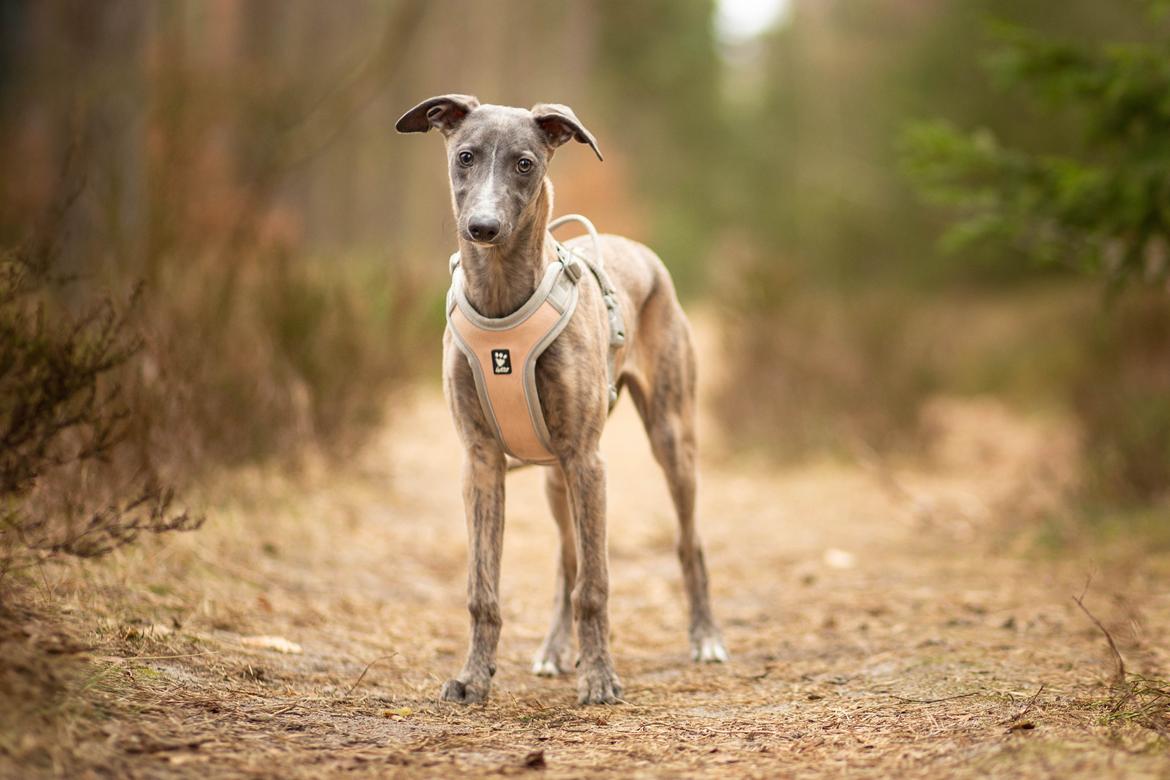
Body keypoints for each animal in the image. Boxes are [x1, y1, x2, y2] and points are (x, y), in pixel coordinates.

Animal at [395, 94, 720, 706]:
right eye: (465, 155)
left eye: (525, 163)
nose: (483, 227)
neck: (500, 297)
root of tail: (640, 250)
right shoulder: (481, 461)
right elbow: (484, 587)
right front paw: (474, 678)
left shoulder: (588, 460)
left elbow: (595, 585)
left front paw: (600, 678)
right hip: (553, 476)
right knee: (566, 558)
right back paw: (553, 647)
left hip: (671, 439)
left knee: (688, 543)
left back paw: (706, 636)